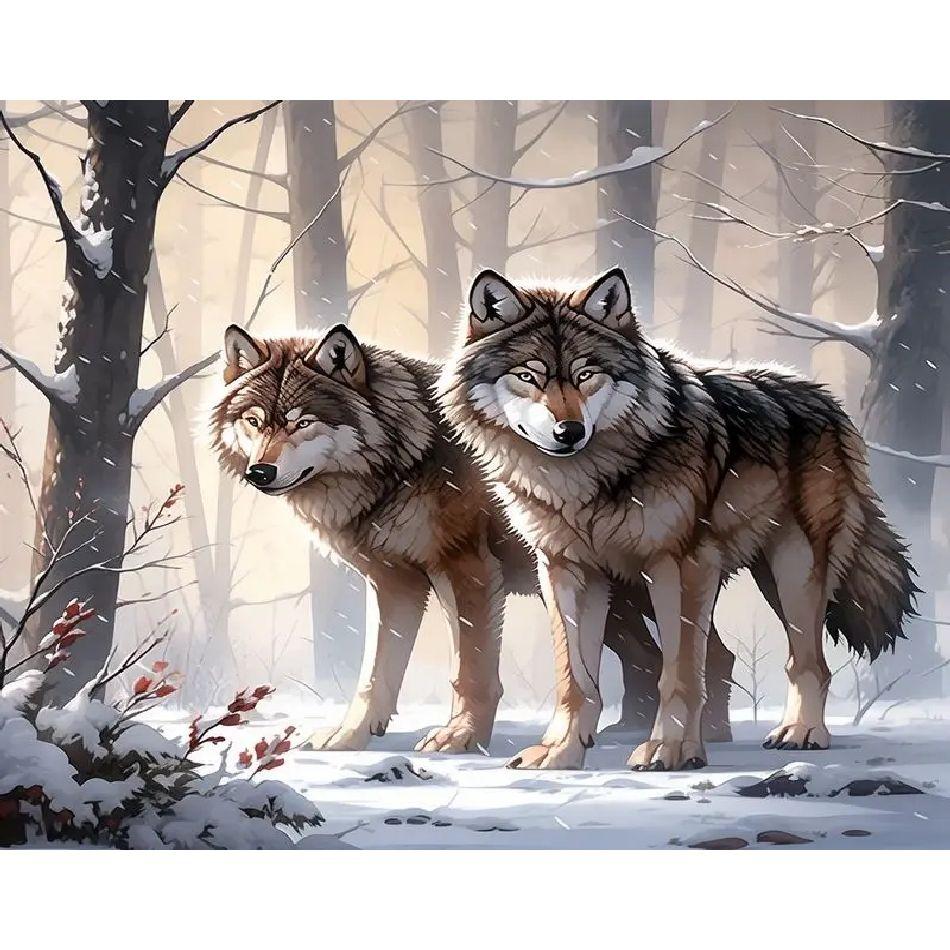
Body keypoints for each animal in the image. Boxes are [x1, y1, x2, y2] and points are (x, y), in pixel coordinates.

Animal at [210, 322, 736, 755]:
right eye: (254, 421)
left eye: (302, 422)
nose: (260, 472)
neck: (407, 456)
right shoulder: (394, 582)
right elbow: (375, 674)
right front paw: (350, 737)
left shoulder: (468, 568)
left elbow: (471, 670)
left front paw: (461, 737)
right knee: (663, 657)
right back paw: (632, 733)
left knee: (704, 654)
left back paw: (696, 737)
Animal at [439, 267, 917, 771]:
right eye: (528, 376)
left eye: (587, 374)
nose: (569, 431)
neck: (588, 480)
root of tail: (824, 398)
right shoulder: (566, 569)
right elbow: (575, 679)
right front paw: (561, 752)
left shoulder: (681, 565)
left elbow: (678, 673)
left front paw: (670, 749)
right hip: (762, 575)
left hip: (795, 568)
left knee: (809, 663)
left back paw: (800, 733)